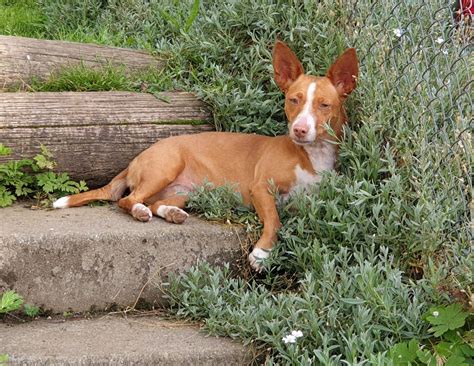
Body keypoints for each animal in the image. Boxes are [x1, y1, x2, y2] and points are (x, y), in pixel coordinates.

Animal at [52, 41, 356, 272]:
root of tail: (134, 160)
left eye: (324, 105)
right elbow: (274, 221)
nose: (299, 129)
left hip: (187, 192)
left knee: (155, 203)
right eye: (294, 100)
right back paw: (139, 211)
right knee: (127, 200)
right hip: (166, 167)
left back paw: (171, 213)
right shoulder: (260, 188)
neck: (310, 155)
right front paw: (262, 253)